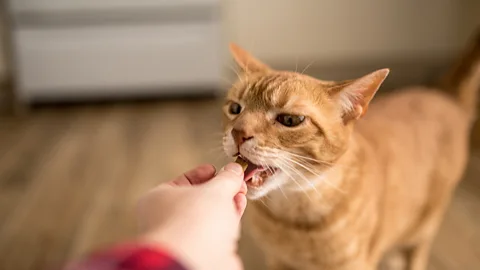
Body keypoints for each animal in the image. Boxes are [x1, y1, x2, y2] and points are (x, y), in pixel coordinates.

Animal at [223, 30, 480, 270]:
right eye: (235, 108)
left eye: (290, 120)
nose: (238, 132)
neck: (291, 216)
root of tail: (444, 95)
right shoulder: (278, 260)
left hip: (424, 224)